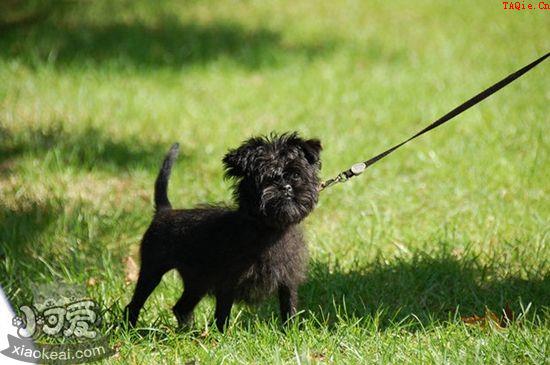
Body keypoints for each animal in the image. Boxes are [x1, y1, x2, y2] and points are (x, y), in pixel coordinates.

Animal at [125, 132, 324, 330]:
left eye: (296, 175)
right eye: (266, 178)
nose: (285, 187)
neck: (270, 229)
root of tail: (164, 211)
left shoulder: (288, 280)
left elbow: (289, 307)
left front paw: (290, 331)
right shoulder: (228, 282)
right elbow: (223, 314)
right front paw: (221, 335)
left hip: (198, 282)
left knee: (181, 307)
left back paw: (186, 332)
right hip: (153, 270)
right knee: (135, 303)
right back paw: (131, 329)